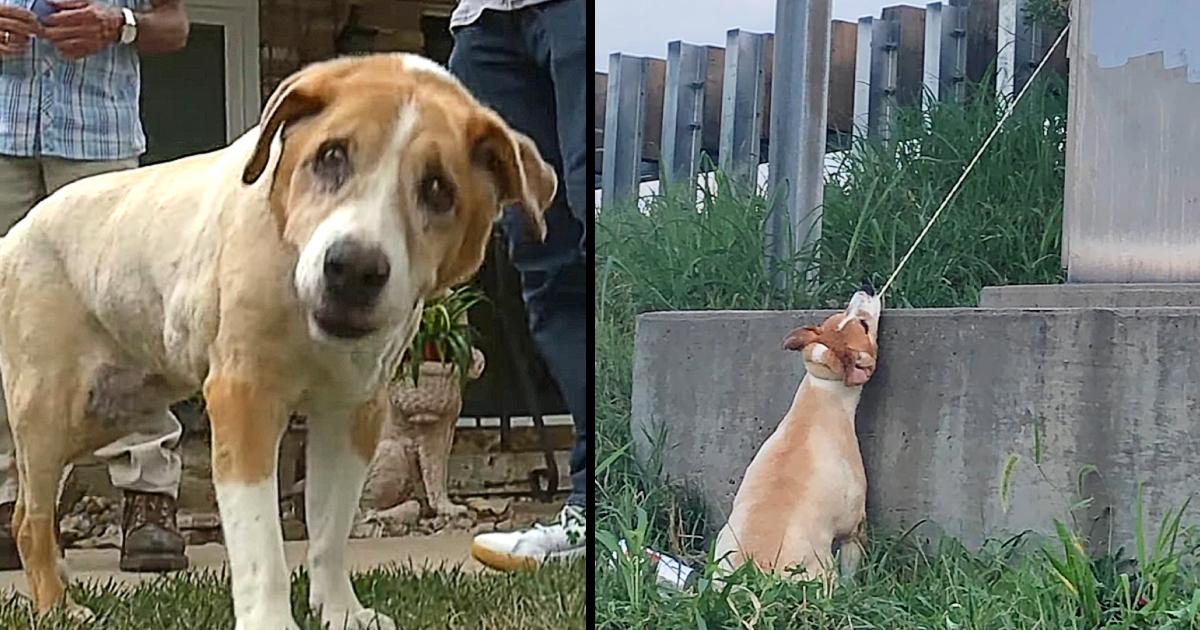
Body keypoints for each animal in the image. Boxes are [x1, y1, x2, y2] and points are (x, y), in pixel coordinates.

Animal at [0, 54, 556, 628]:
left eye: (439, 188)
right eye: (331, 156)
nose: (353, 269)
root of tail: (16, 233)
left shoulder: (353, 411)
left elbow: (331, 528)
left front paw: (340, 610)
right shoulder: (245, 399)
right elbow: (261, 541)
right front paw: (271, 618)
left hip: (105, 412)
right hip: (49, 413)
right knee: (30, 519)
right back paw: (57, 607)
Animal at [710, 289, 883, 585]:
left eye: (842, 312)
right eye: (863, 325)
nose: (866, 288)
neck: (823, 390)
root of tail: (751, 577)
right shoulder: (854, 525)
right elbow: (852, 563)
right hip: (821, 570)